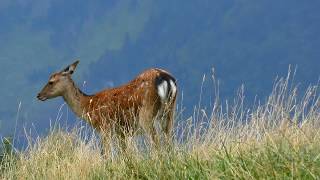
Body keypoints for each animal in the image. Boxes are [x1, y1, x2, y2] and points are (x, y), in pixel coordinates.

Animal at [38, 60, 178, 152]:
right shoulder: (122, 132)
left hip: (146, 115)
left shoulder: (105, 127)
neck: (90, 107)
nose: (38, 95)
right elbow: (125, 154)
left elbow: (105, 154)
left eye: (51, 82)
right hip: (170, 113)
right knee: (169, 141)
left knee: (156, 143)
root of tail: (166, 79)